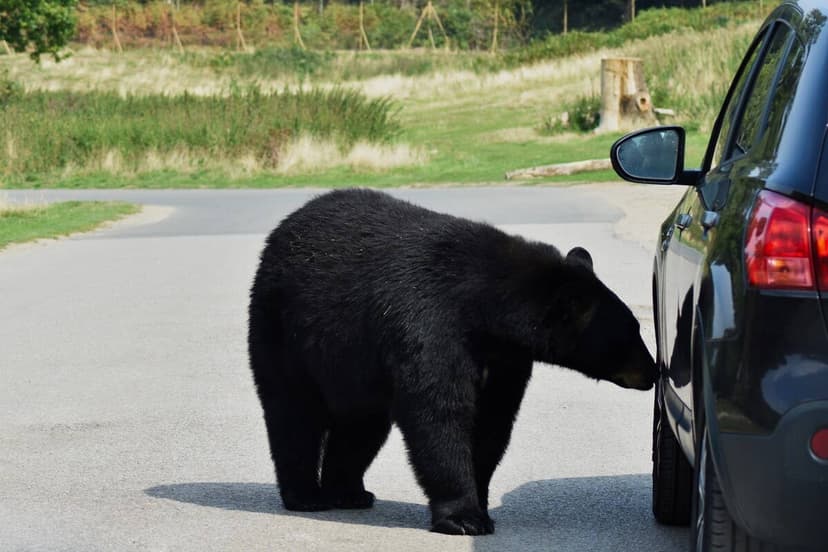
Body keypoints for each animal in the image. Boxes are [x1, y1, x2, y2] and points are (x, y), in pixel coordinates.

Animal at [248, 188, 656, 535]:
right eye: (631, 333)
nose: (653, 372)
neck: (486, 311)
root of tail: (284, 227)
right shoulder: (428, 325)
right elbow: (440, 413)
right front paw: (464, 517)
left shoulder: (505, 361)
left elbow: (492, 421)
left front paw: (482, 505)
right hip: (282, 331)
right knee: (294, 414)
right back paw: (305, 496)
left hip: (355, 368)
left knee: (362, 425)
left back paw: (348, 492)